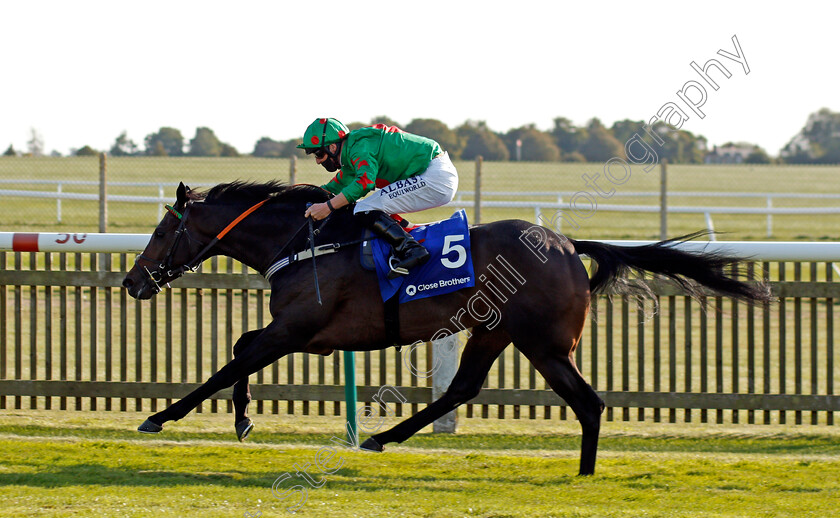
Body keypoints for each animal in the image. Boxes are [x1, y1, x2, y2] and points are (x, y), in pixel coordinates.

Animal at [121, 181, 772, 478]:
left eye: (161, 231)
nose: (132, 282)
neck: (304, 241)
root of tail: (566, 244)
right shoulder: (297, 332)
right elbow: (238, 350)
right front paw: (242, 419)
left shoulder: (299, 329)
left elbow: (229, 361)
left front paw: (162, 417)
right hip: (500, 333)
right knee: (476, 389)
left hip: (539, 341)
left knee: (582, 400)